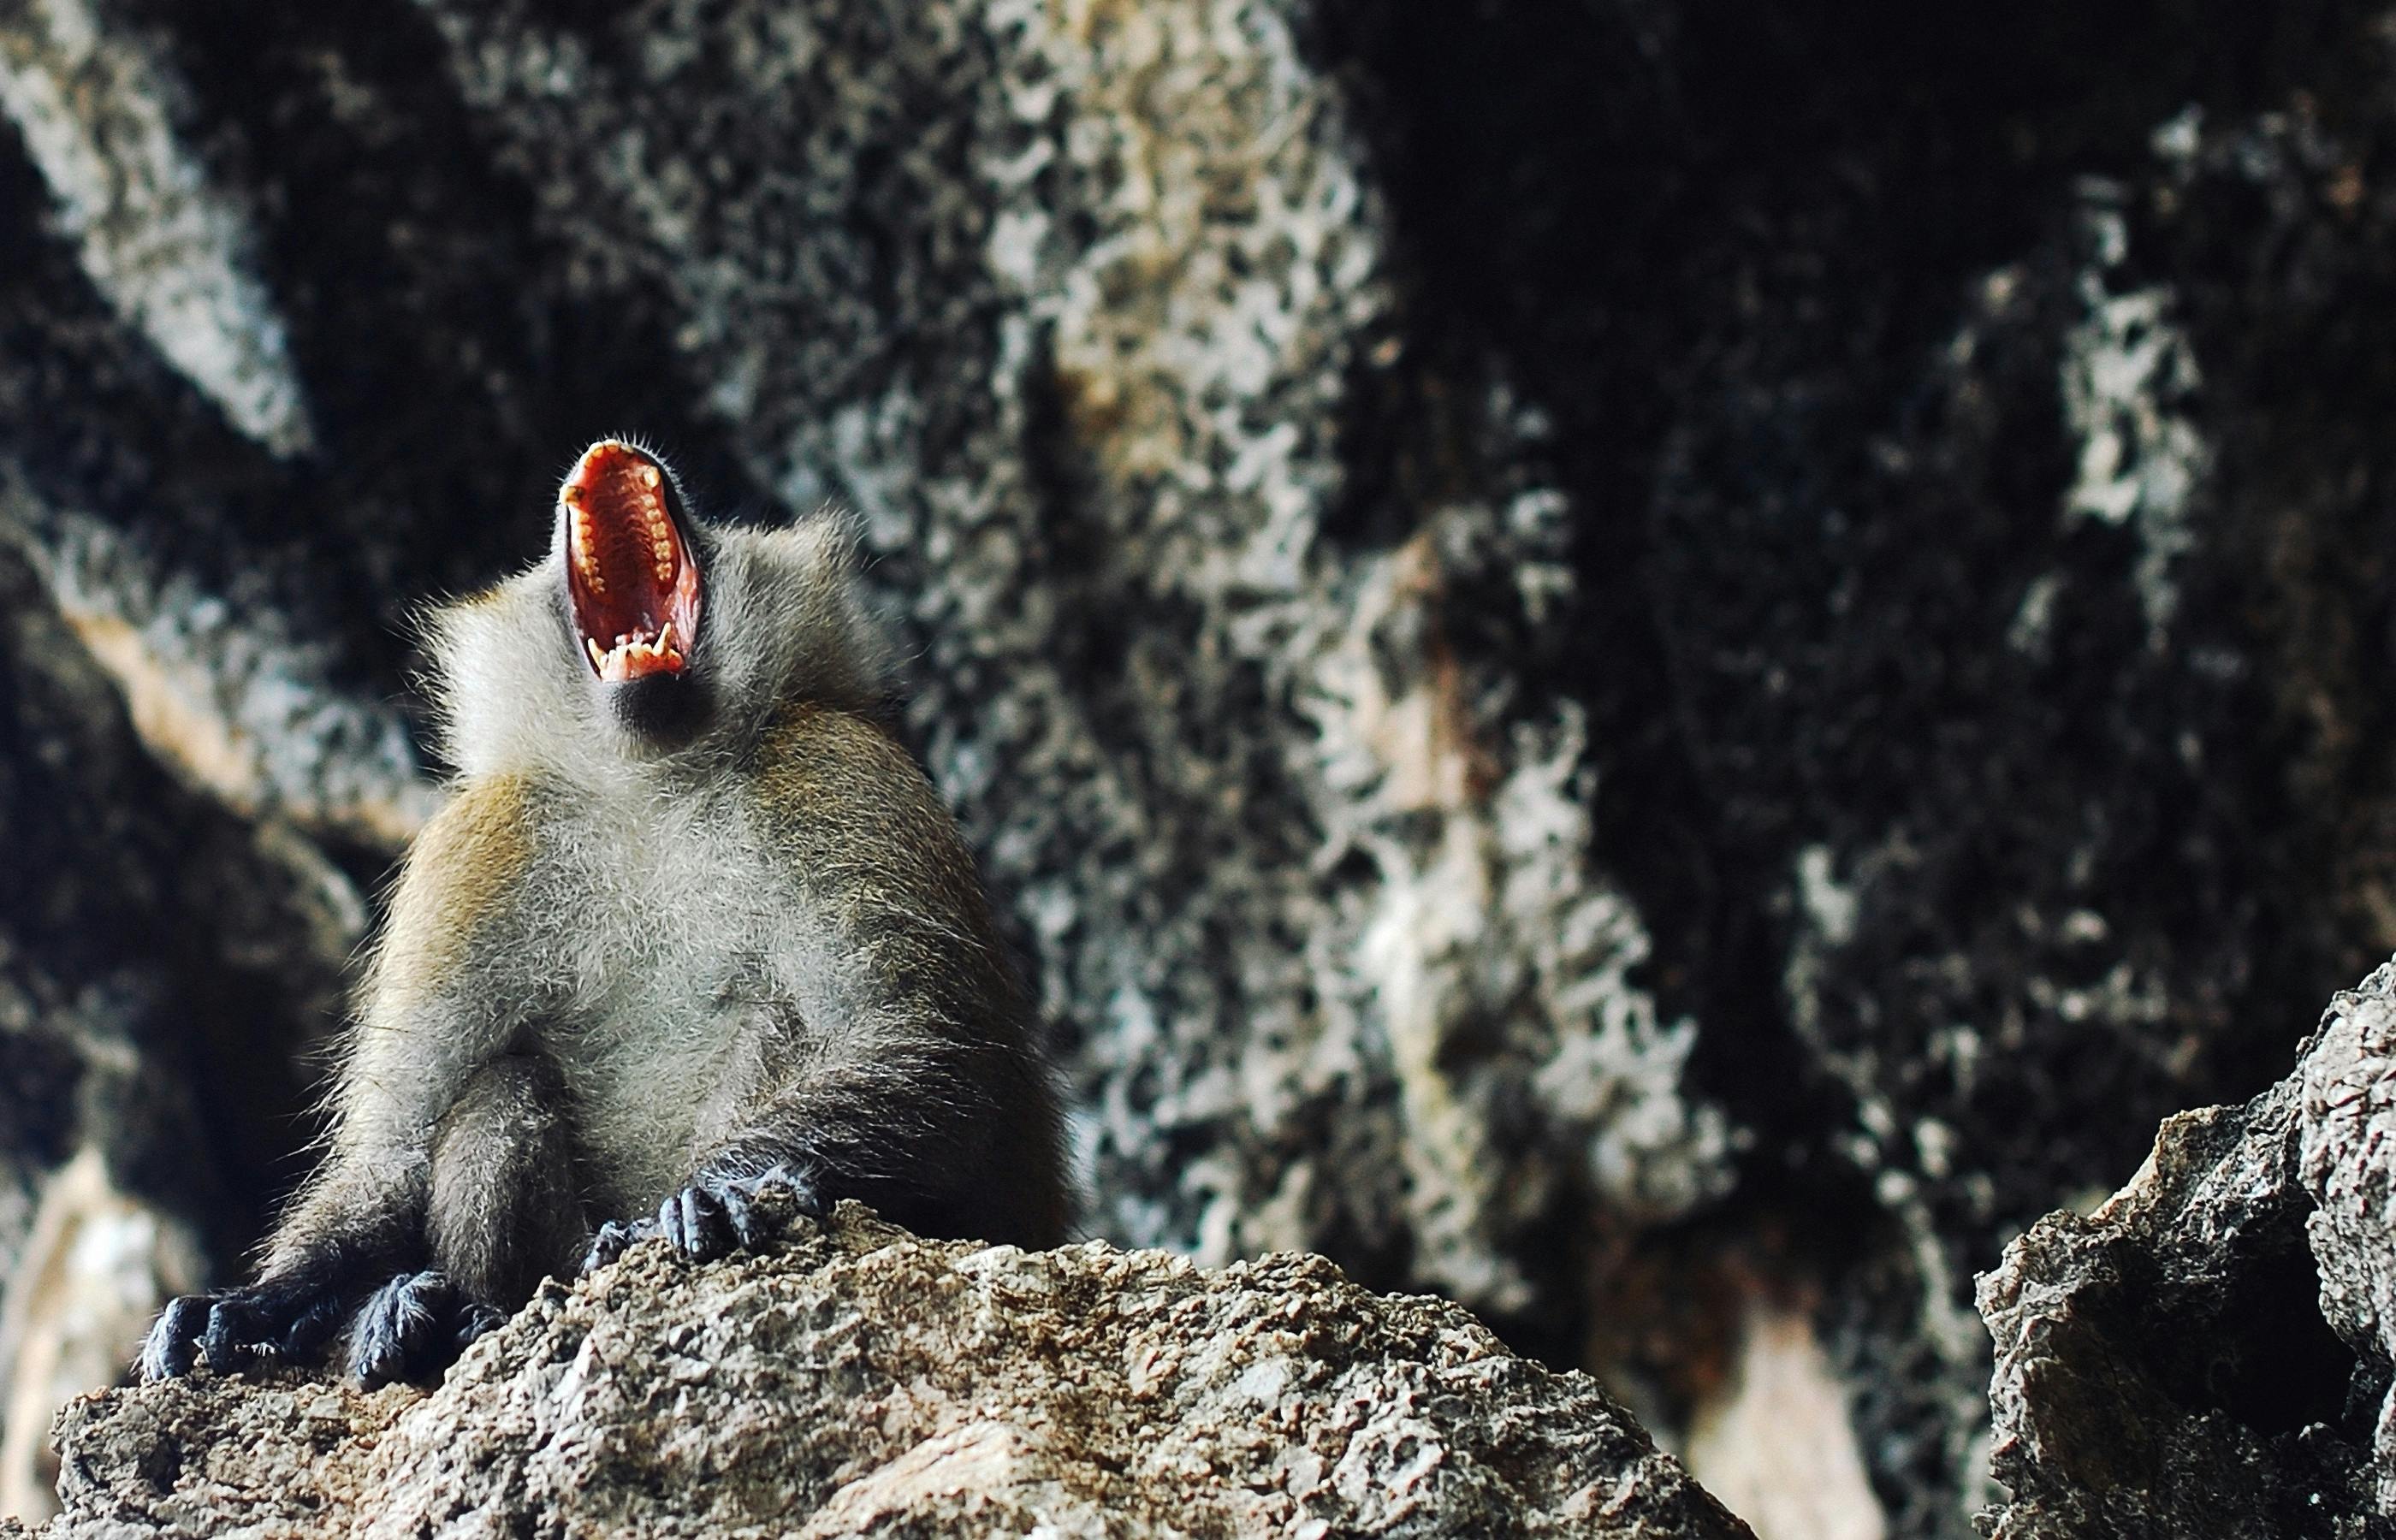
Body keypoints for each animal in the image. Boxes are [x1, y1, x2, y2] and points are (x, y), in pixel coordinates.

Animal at [135, 441, 1064, 1389]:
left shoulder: (835, 770)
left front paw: (724, 1186)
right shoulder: (479, 847)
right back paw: (454, 1313)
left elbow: (931, 1047)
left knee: (779, 1018)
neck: (652, 783)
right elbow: (397, 1146)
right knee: (501, 1093)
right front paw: (266, 1302)